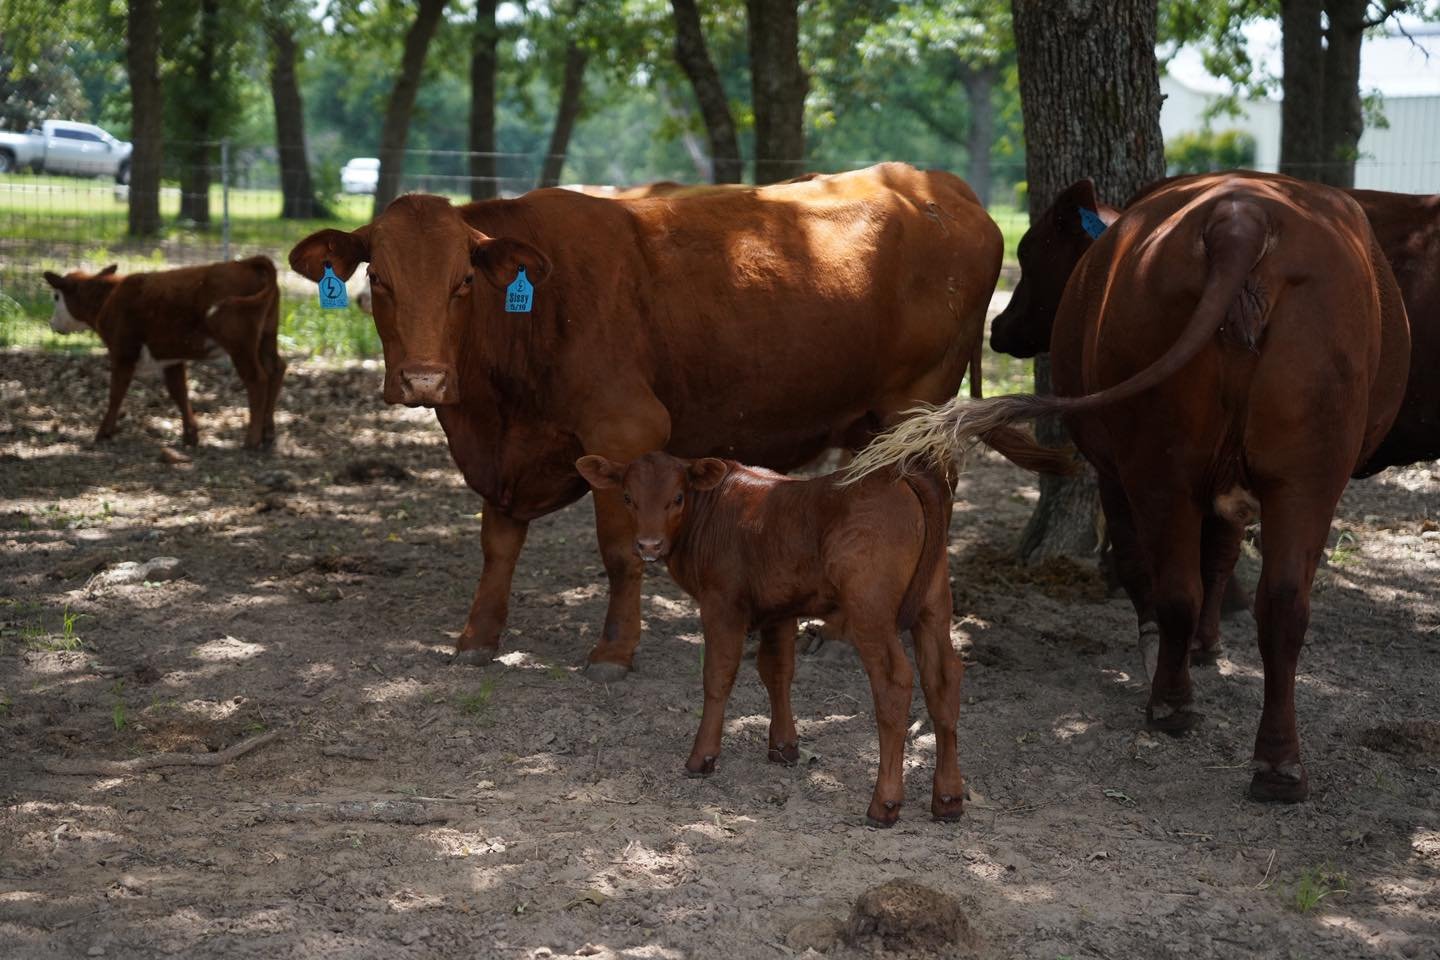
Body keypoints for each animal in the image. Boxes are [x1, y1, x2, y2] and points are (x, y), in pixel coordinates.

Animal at [42, 256, 284, 450]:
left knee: (257, 380)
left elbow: (116, 394)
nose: (51, 323)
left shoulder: (123, 353)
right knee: (276, 370)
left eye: (56, 297)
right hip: (266, 338)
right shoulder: (171, 359)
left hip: (240, 345)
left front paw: (103, 433)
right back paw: (268, 433)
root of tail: (246, 263)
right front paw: (190, 436)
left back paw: (252, 439)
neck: (108, 298)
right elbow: (179, 392)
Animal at [288, 162, 1051, 679]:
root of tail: (932, 181)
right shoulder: (503, 456)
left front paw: (614, 650)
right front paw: (478, 638)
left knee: (934, 503)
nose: (424, 378)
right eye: (378, 280)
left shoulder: (625, 430)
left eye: (464, 282)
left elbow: (621, 552)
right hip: (870, 417)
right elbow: (497, 545)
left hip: (919, 404)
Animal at [574, 451, 964, 827]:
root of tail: (897, 476)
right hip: (934, 605)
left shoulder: (722, 603)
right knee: (942, 680)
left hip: (871, 610)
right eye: (628, 497)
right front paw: (784, 747)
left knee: (893, 683)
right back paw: (948, 800)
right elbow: (777, 671)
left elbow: (718, 675)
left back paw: (884, 805)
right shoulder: (779, 610)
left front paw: (702, 758)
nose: (649, 545)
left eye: (678, 497)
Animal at [848, 172, 1410, 802]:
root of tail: (1241, 219)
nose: (1000, 327)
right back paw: (1276, 761)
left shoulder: (1112, 469)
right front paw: (1206, 646)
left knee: (1176, 586)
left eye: (1032, 251)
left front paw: (1179, 648)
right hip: (1302, 477)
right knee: (1280, 601)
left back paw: (1171, 703)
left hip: (1164, 465)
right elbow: (1218, 557)